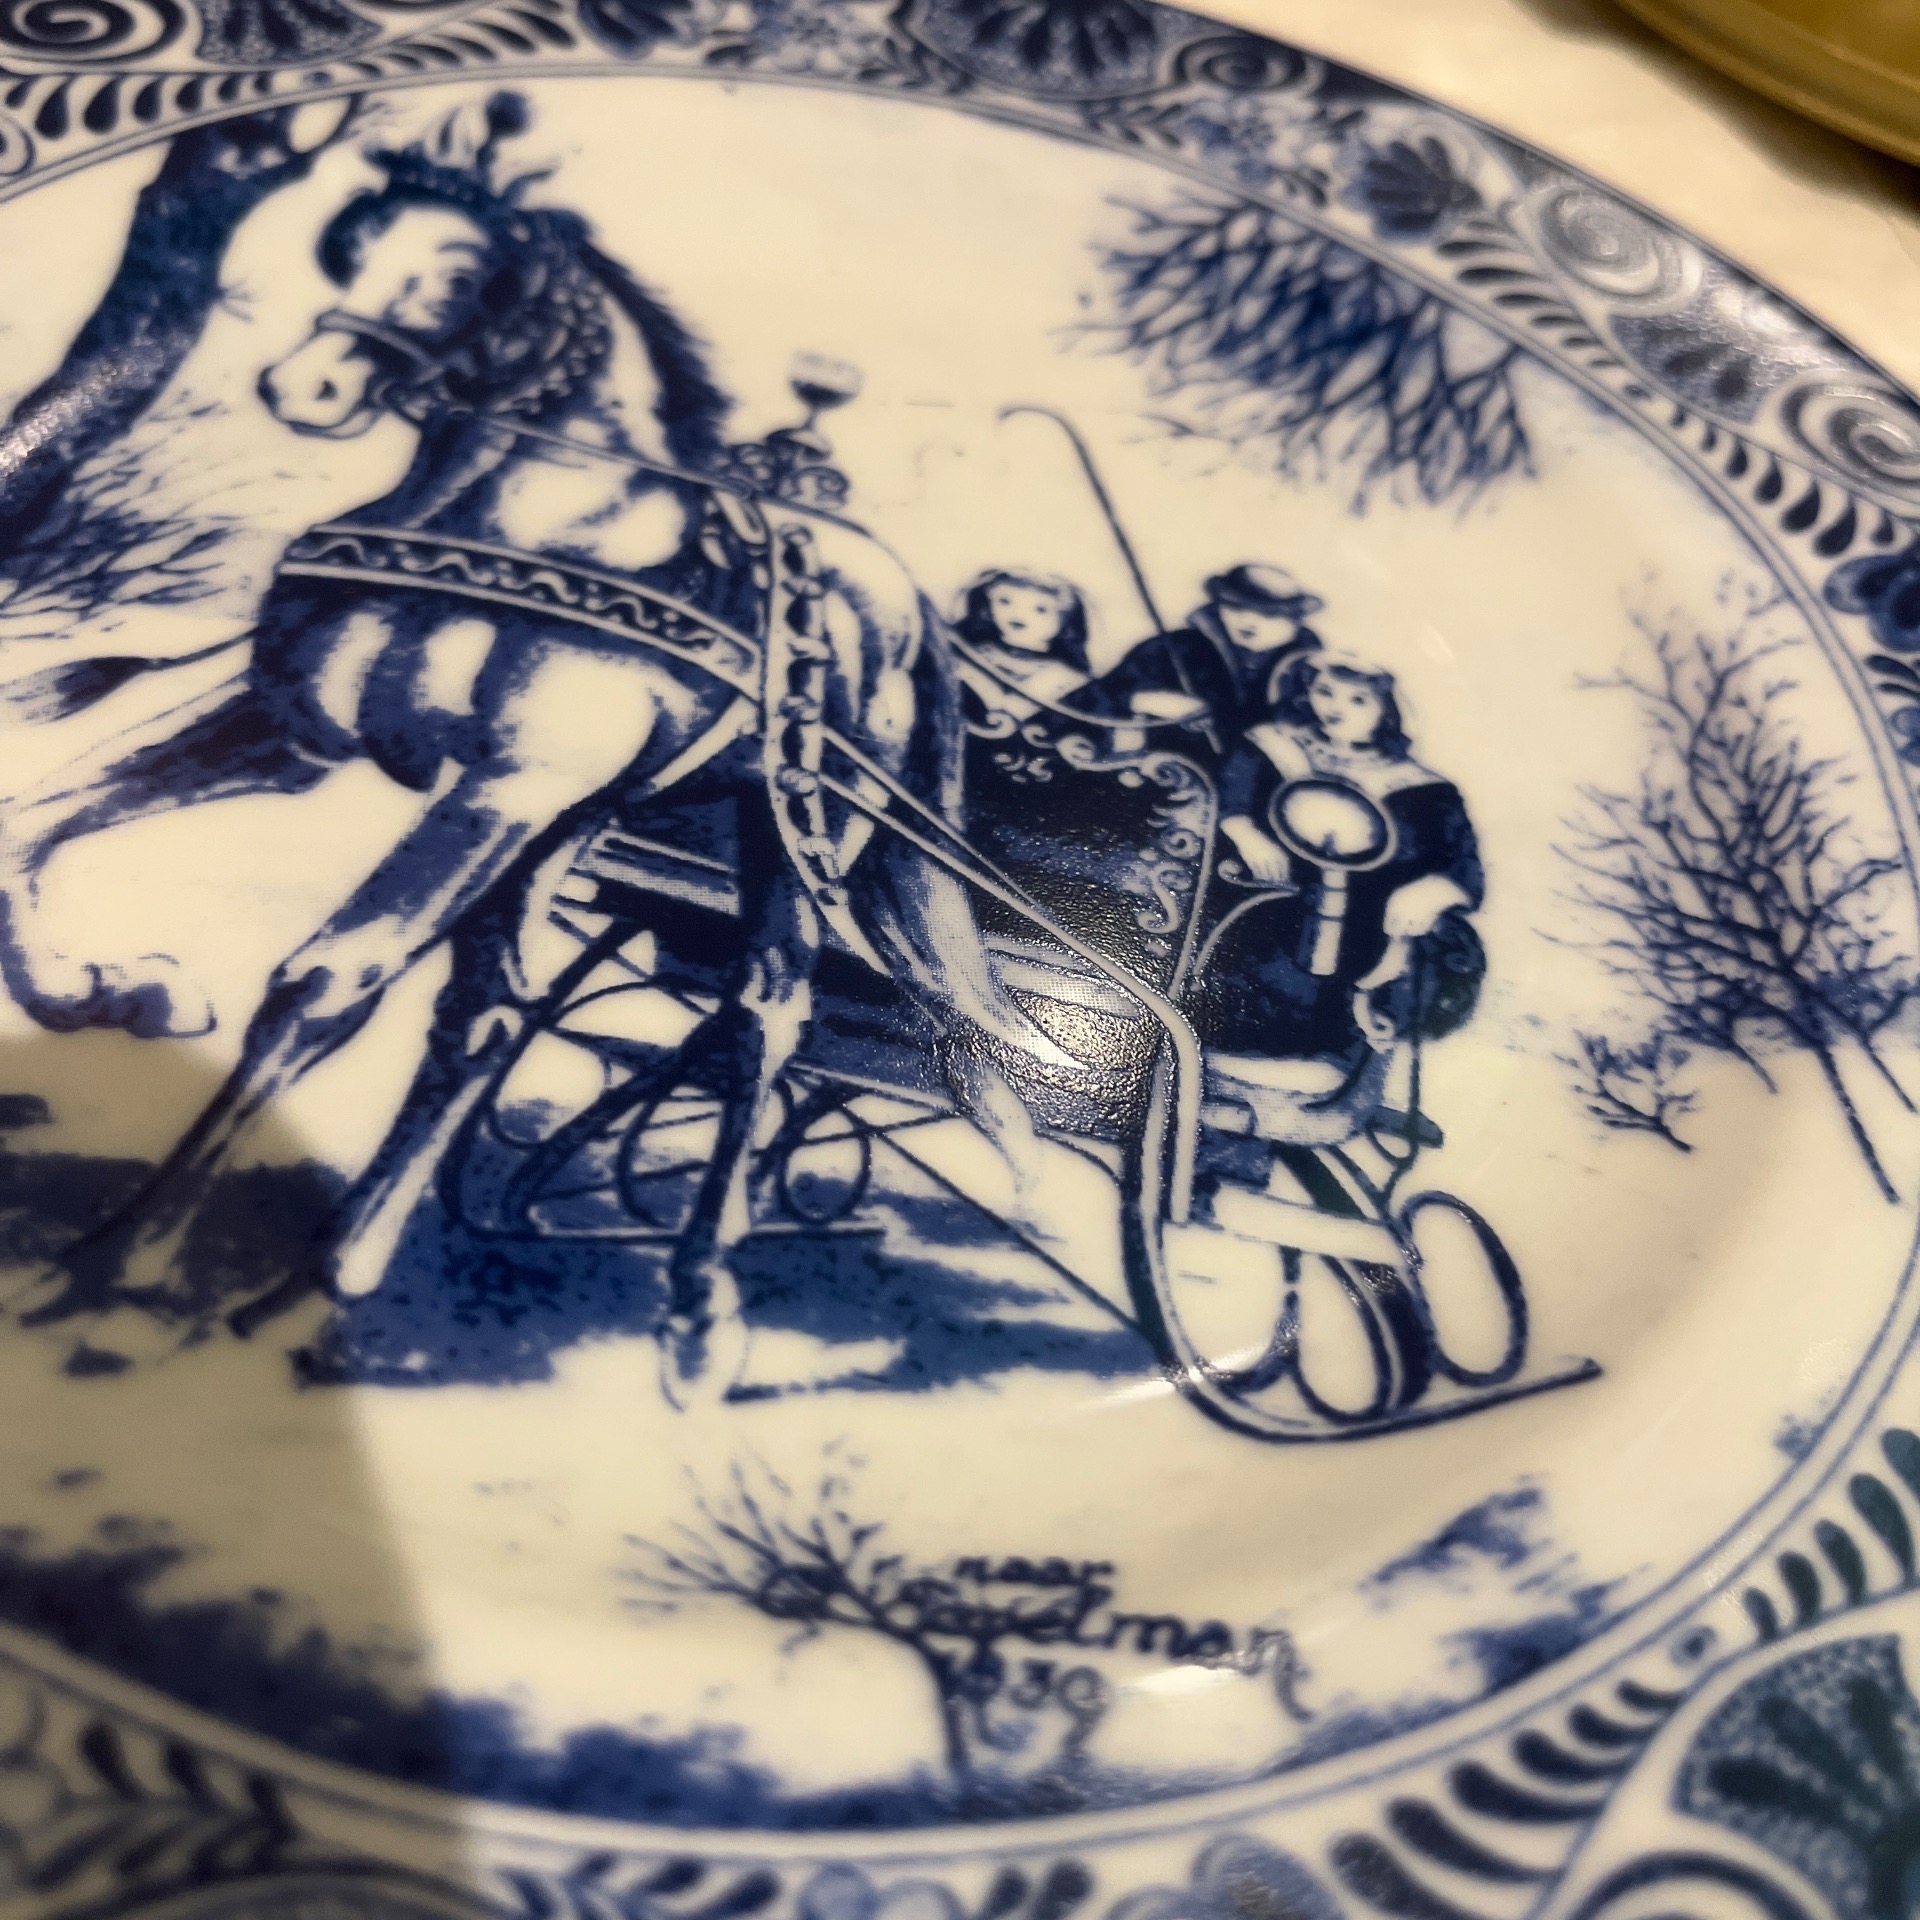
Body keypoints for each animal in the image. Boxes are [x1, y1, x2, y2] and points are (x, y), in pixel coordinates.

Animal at [0, 91, 1083, 1400]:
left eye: (466, 272)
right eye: (350, 249)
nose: (307, 385)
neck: (531, 524)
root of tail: (895, 591)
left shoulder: (509, 787)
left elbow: (324, 985)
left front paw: (128, 1271)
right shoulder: (296, 733)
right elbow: (34, 823)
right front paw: (101, 990)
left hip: (777, 832)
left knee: (761, 1015)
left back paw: (697, 1309)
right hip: (574, 823)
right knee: (491, 1010)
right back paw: (333, 1269)